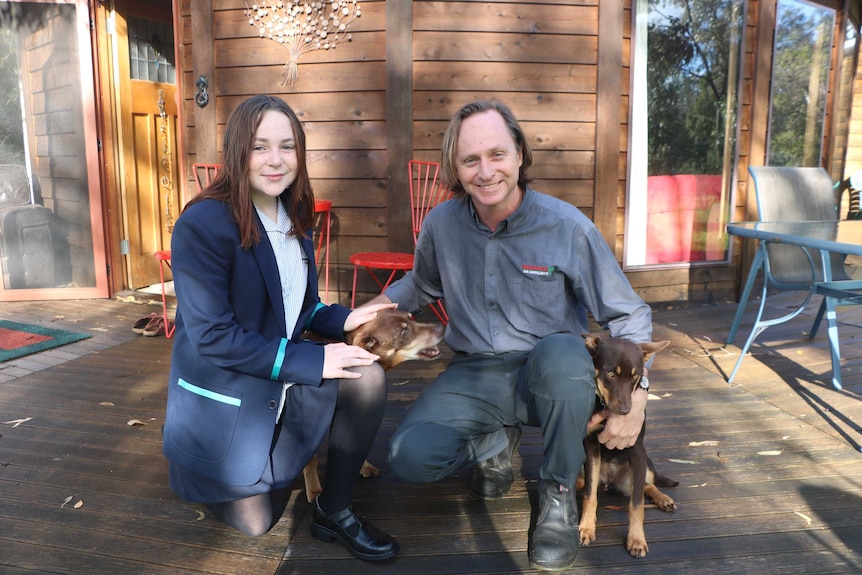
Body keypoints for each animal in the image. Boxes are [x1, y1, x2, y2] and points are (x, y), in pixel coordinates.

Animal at [302, 308, 446, 502]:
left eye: (411, 317)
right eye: (403, 332)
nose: (441, 327)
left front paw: (364, 466)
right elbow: (311, 460)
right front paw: (314, 489)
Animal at [576, 336, 680, 560]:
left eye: (635, 377)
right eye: (610, 373)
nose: (626, 411)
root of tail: (609, 481)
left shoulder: (637, 452)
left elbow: (637, 504)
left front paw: (637, 540)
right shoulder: (590, 448)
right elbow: (590, 494)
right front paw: (586, 527)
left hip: (641, 468)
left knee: (646, 485)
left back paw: (663, 498)